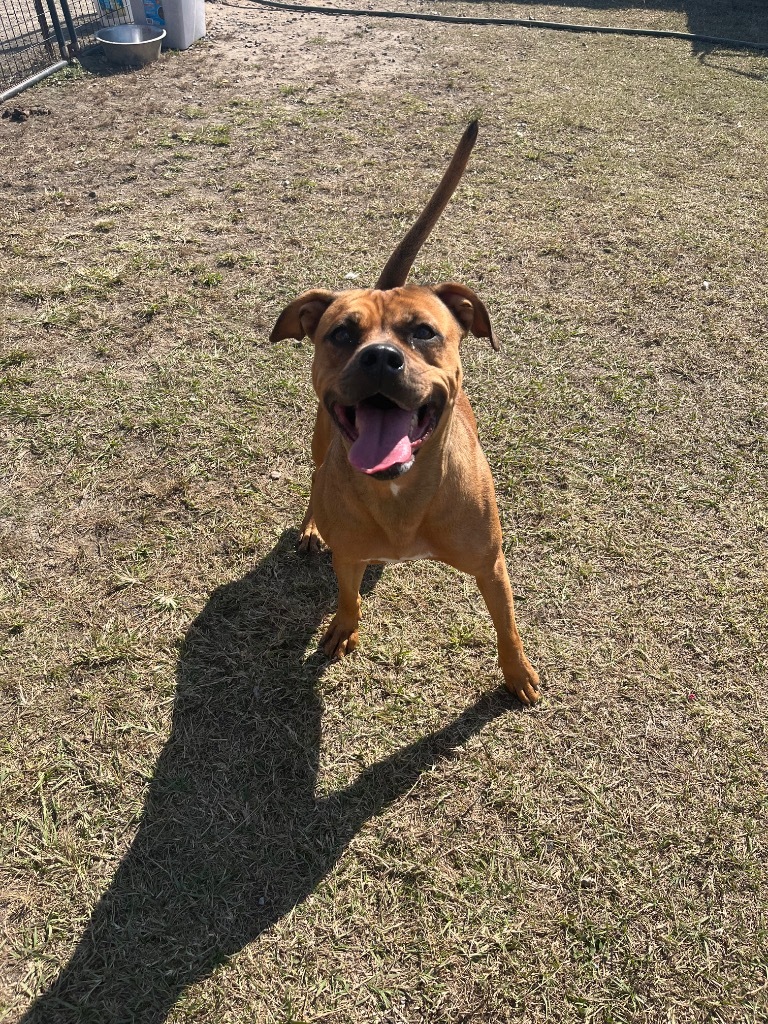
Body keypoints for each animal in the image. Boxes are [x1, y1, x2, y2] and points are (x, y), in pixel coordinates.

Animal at [270, 119, 540, 704]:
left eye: (423, 331)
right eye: (341, 333)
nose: (379, 357)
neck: (399, 491)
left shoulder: (490, 563)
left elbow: (506, 622)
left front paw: (517, 673)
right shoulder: (349, 556)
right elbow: (347, 595)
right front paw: (343, 629)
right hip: (320, 441)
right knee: (314, 477)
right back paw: (311, 527)